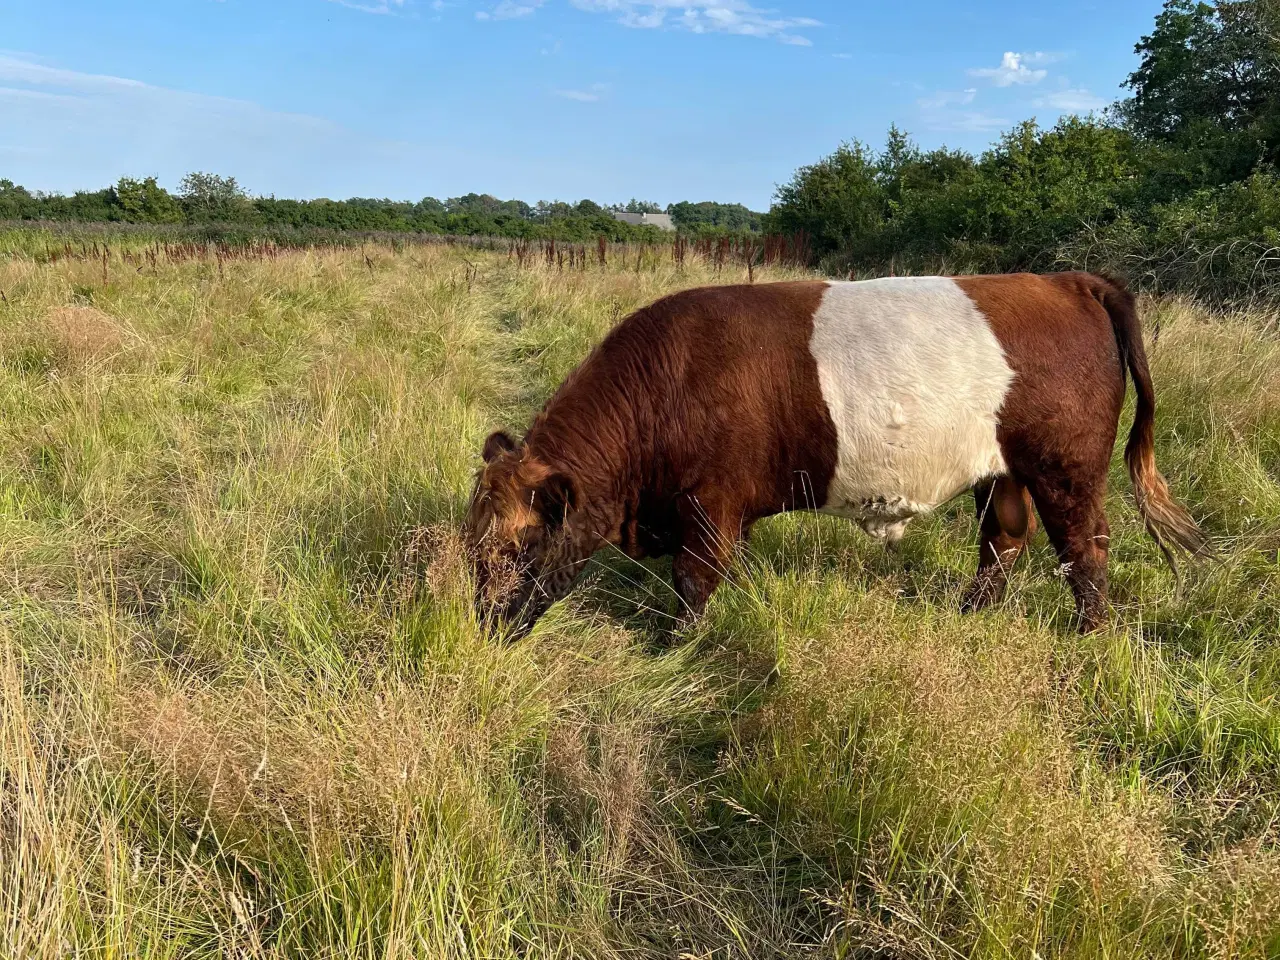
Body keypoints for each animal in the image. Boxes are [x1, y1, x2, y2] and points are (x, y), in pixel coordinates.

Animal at [465, 273, 1203, 642]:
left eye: (519, 548)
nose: (485, 628)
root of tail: (1068, 279)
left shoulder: (710, 506)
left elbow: (693, 582)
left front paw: (673, 646)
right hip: (1004, 473)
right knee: (1005, 540)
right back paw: (969, 615)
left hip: (1065, 472)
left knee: (1085, 546)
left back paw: (1088, 636)